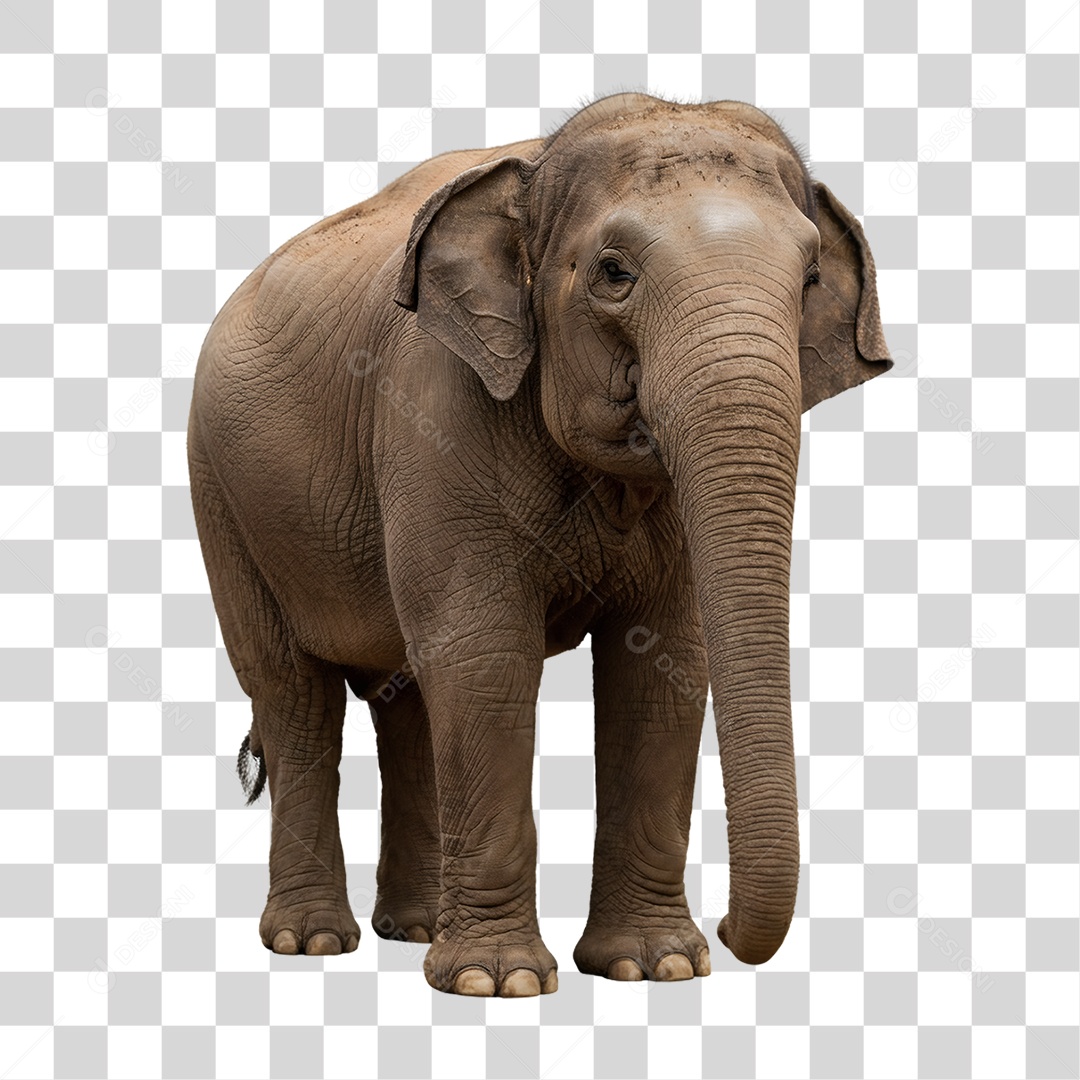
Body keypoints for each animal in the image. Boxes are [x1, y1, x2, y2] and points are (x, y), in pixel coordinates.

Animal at [188, 93, 891, 996]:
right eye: (613, 273)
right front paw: (500, 983)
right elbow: (487, 656)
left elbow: (663, 663)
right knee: (295, 695)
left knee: (407, 698)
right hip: (223, 499)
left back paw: (414, 931)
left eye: (808, 282)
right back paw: (312, 943)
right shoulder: (436, 412)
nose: (733, 933)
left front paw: (655, 967)